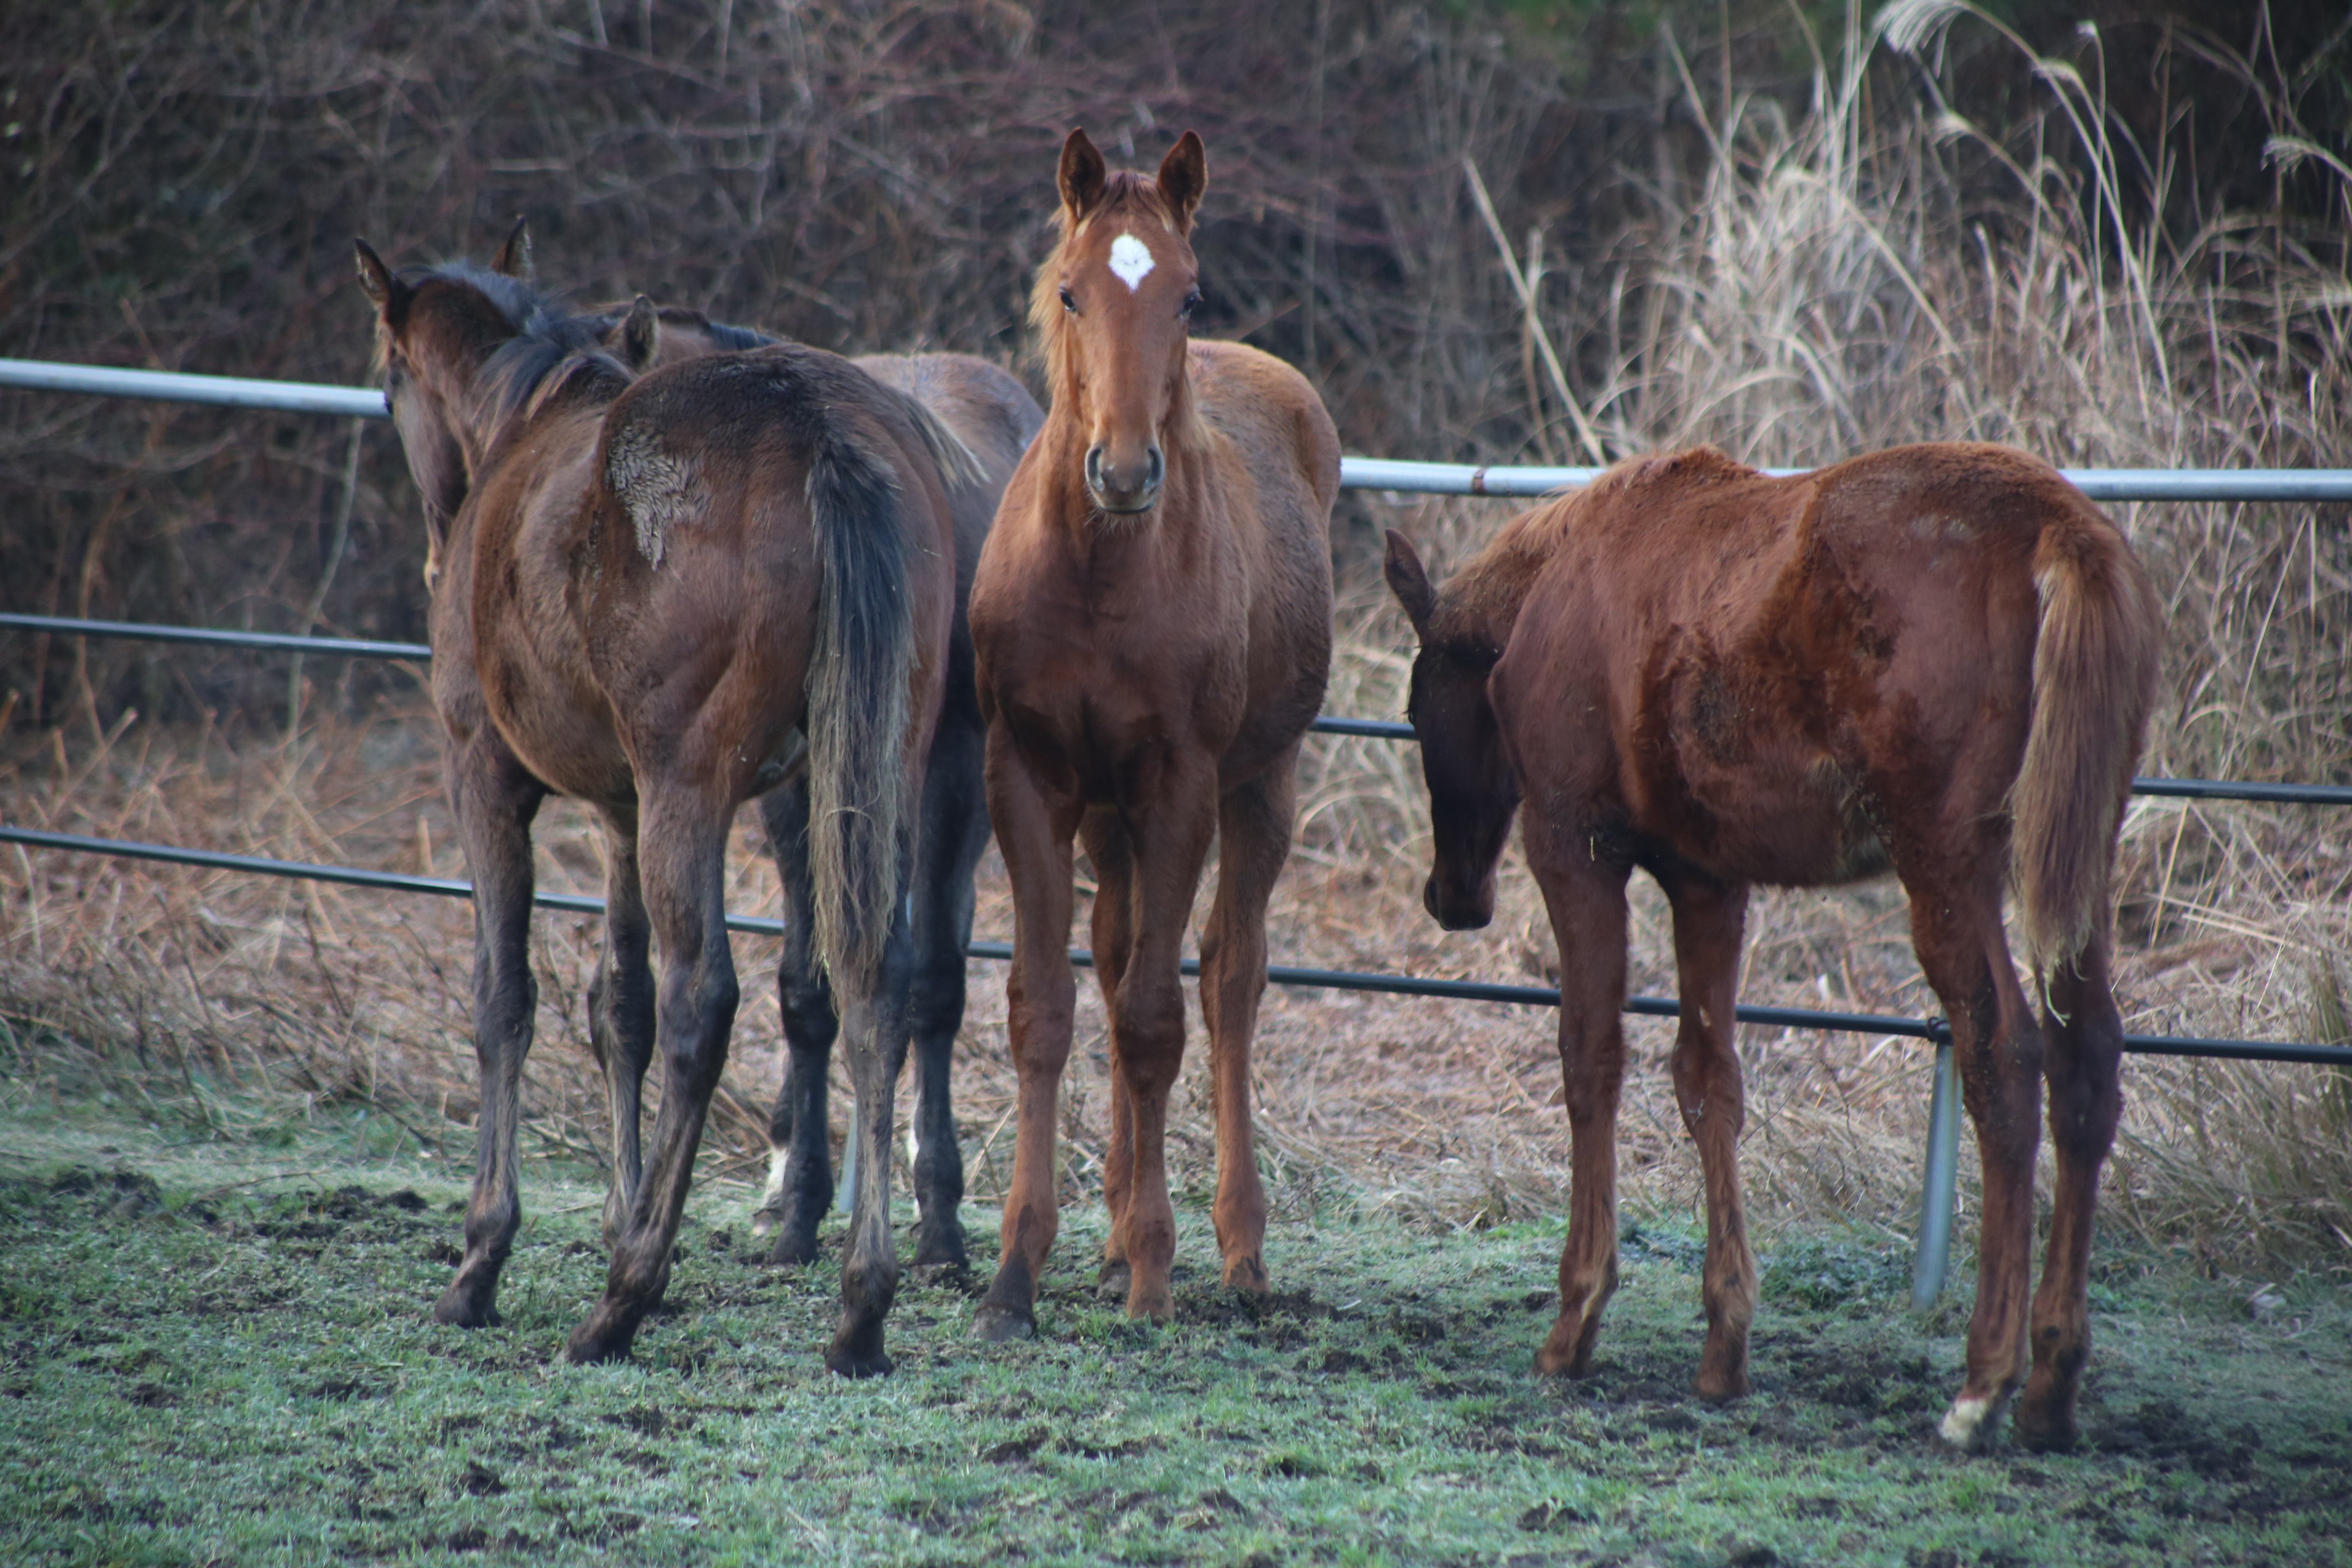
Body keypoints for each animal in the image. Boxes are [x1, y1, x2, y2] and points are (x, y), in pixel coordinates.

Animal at [969, 129, 1345, 1345]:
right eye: (1070, 291)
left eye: (1187, 294)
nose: (1125, 472)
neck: (1098, 575)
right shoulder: (1031, 779)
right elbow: (1045, 1007)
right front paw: (1018, 1269)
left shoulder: (1179, 784)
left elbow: (1151, 1021)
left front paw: (1151, 1268)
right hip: (1108, 815)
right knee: (1122, 948)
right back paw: (1107, 1242)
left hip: (1258, 784)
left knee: (1227, 979)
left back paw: (1234, 1247)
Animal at [1373, 446, 2164, 1457]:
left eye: (1417, 706)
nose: (1453, 895)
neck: (1545, 594)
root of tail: (2062, 536)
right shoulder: (1708, 879)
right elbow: (1709, 1082)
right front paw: (1725, 1341)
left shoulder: (1574, 845)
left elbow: (1591, 1060)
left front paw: (1576, 1316)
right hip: (2072, 857)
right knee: (2087, 1062)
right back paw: (2053, 1381)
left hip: (1950, 861)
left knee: (2005, 1058)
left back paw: (1984, 1381)